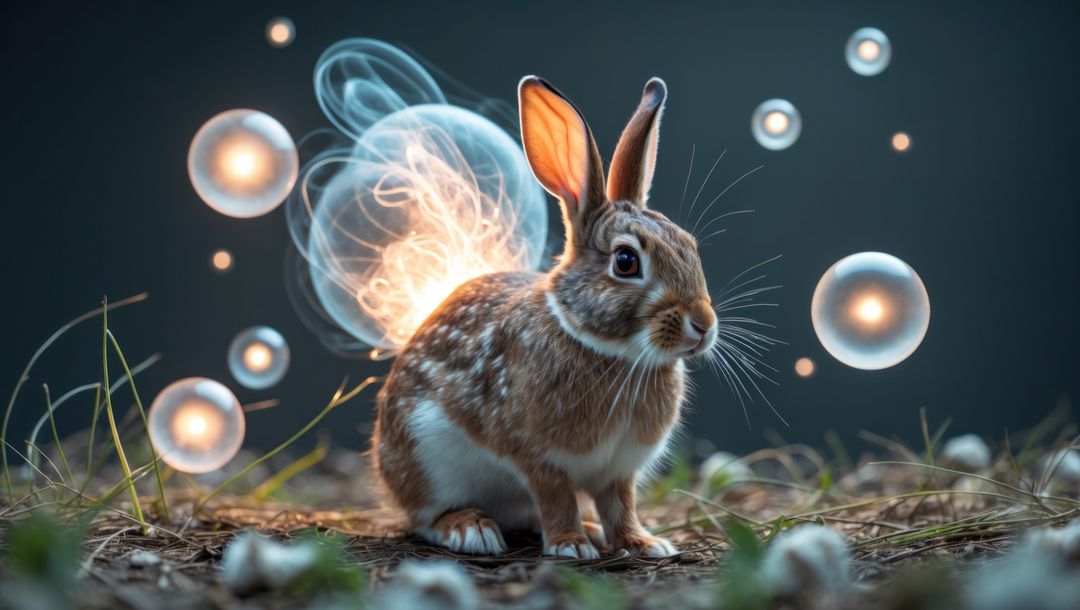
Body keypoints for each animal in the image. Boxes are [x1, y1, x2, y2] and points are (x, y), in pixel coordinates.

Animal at [369, 75, 718, 559]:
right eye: (626, 261)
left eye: (690, 246)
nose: (702, 325)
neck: (614, 352)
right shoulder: (535, 456)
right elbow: (555, 495)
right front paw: (570, 546)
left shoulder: (619, 470)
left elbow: (621, 504)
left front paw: (644, 543)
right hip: (425, 459)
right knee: (425, 516)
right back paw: (470, 529)